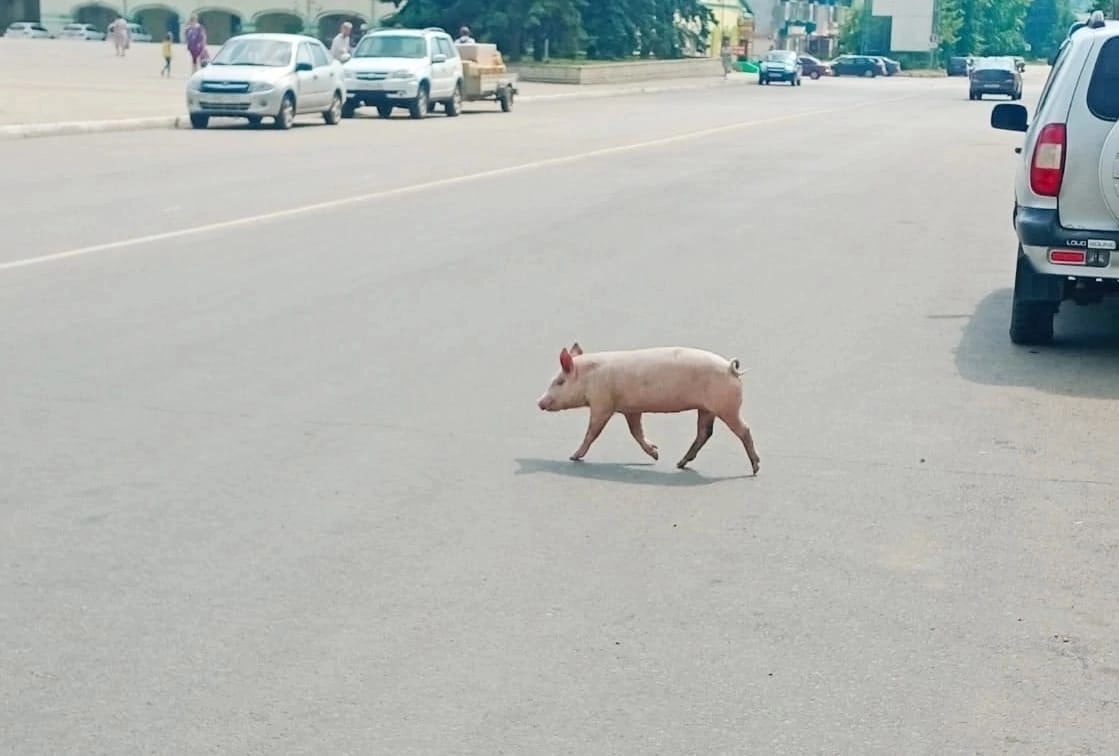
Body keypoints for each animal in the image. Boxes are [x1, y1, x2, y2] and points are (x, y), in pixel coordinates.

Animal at [532, 342, 760, 471]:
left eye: (559, 381)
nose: (538, 402)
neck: (589, 377)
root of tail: (731, 369)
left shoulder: (602, 402)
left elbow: (593, 431)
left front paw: (573, 456)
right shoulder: (631, 409)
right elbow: (636, 431)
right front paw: (656, 454)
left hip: (726, 406)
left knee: (744, 430)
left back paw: (755, 467)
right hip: (707, 408)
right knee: (704, 432)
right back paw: (679, 464)